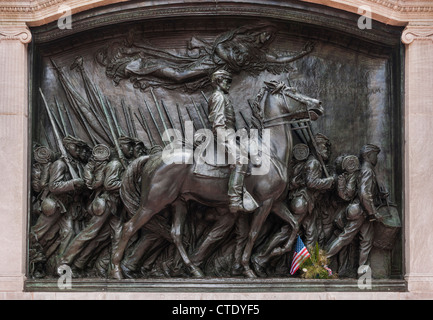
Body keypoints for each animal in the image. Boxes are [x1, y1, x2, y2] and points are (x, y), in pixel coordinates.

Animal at [109, 81, 322, 278]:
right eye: (293, 92)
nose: (318, 104)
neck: (270, 151)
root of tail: (152, 158)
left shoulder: (276, 203)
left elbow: (294, 225)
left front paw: (279, 252)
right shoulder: (265, 203)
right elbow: (253, 235)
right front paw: (248, 268)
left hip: (179, 202)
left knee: (176, 234)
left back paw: (194, 269)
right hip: (153, 203)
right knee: (128, 228)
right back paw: (118, 271)